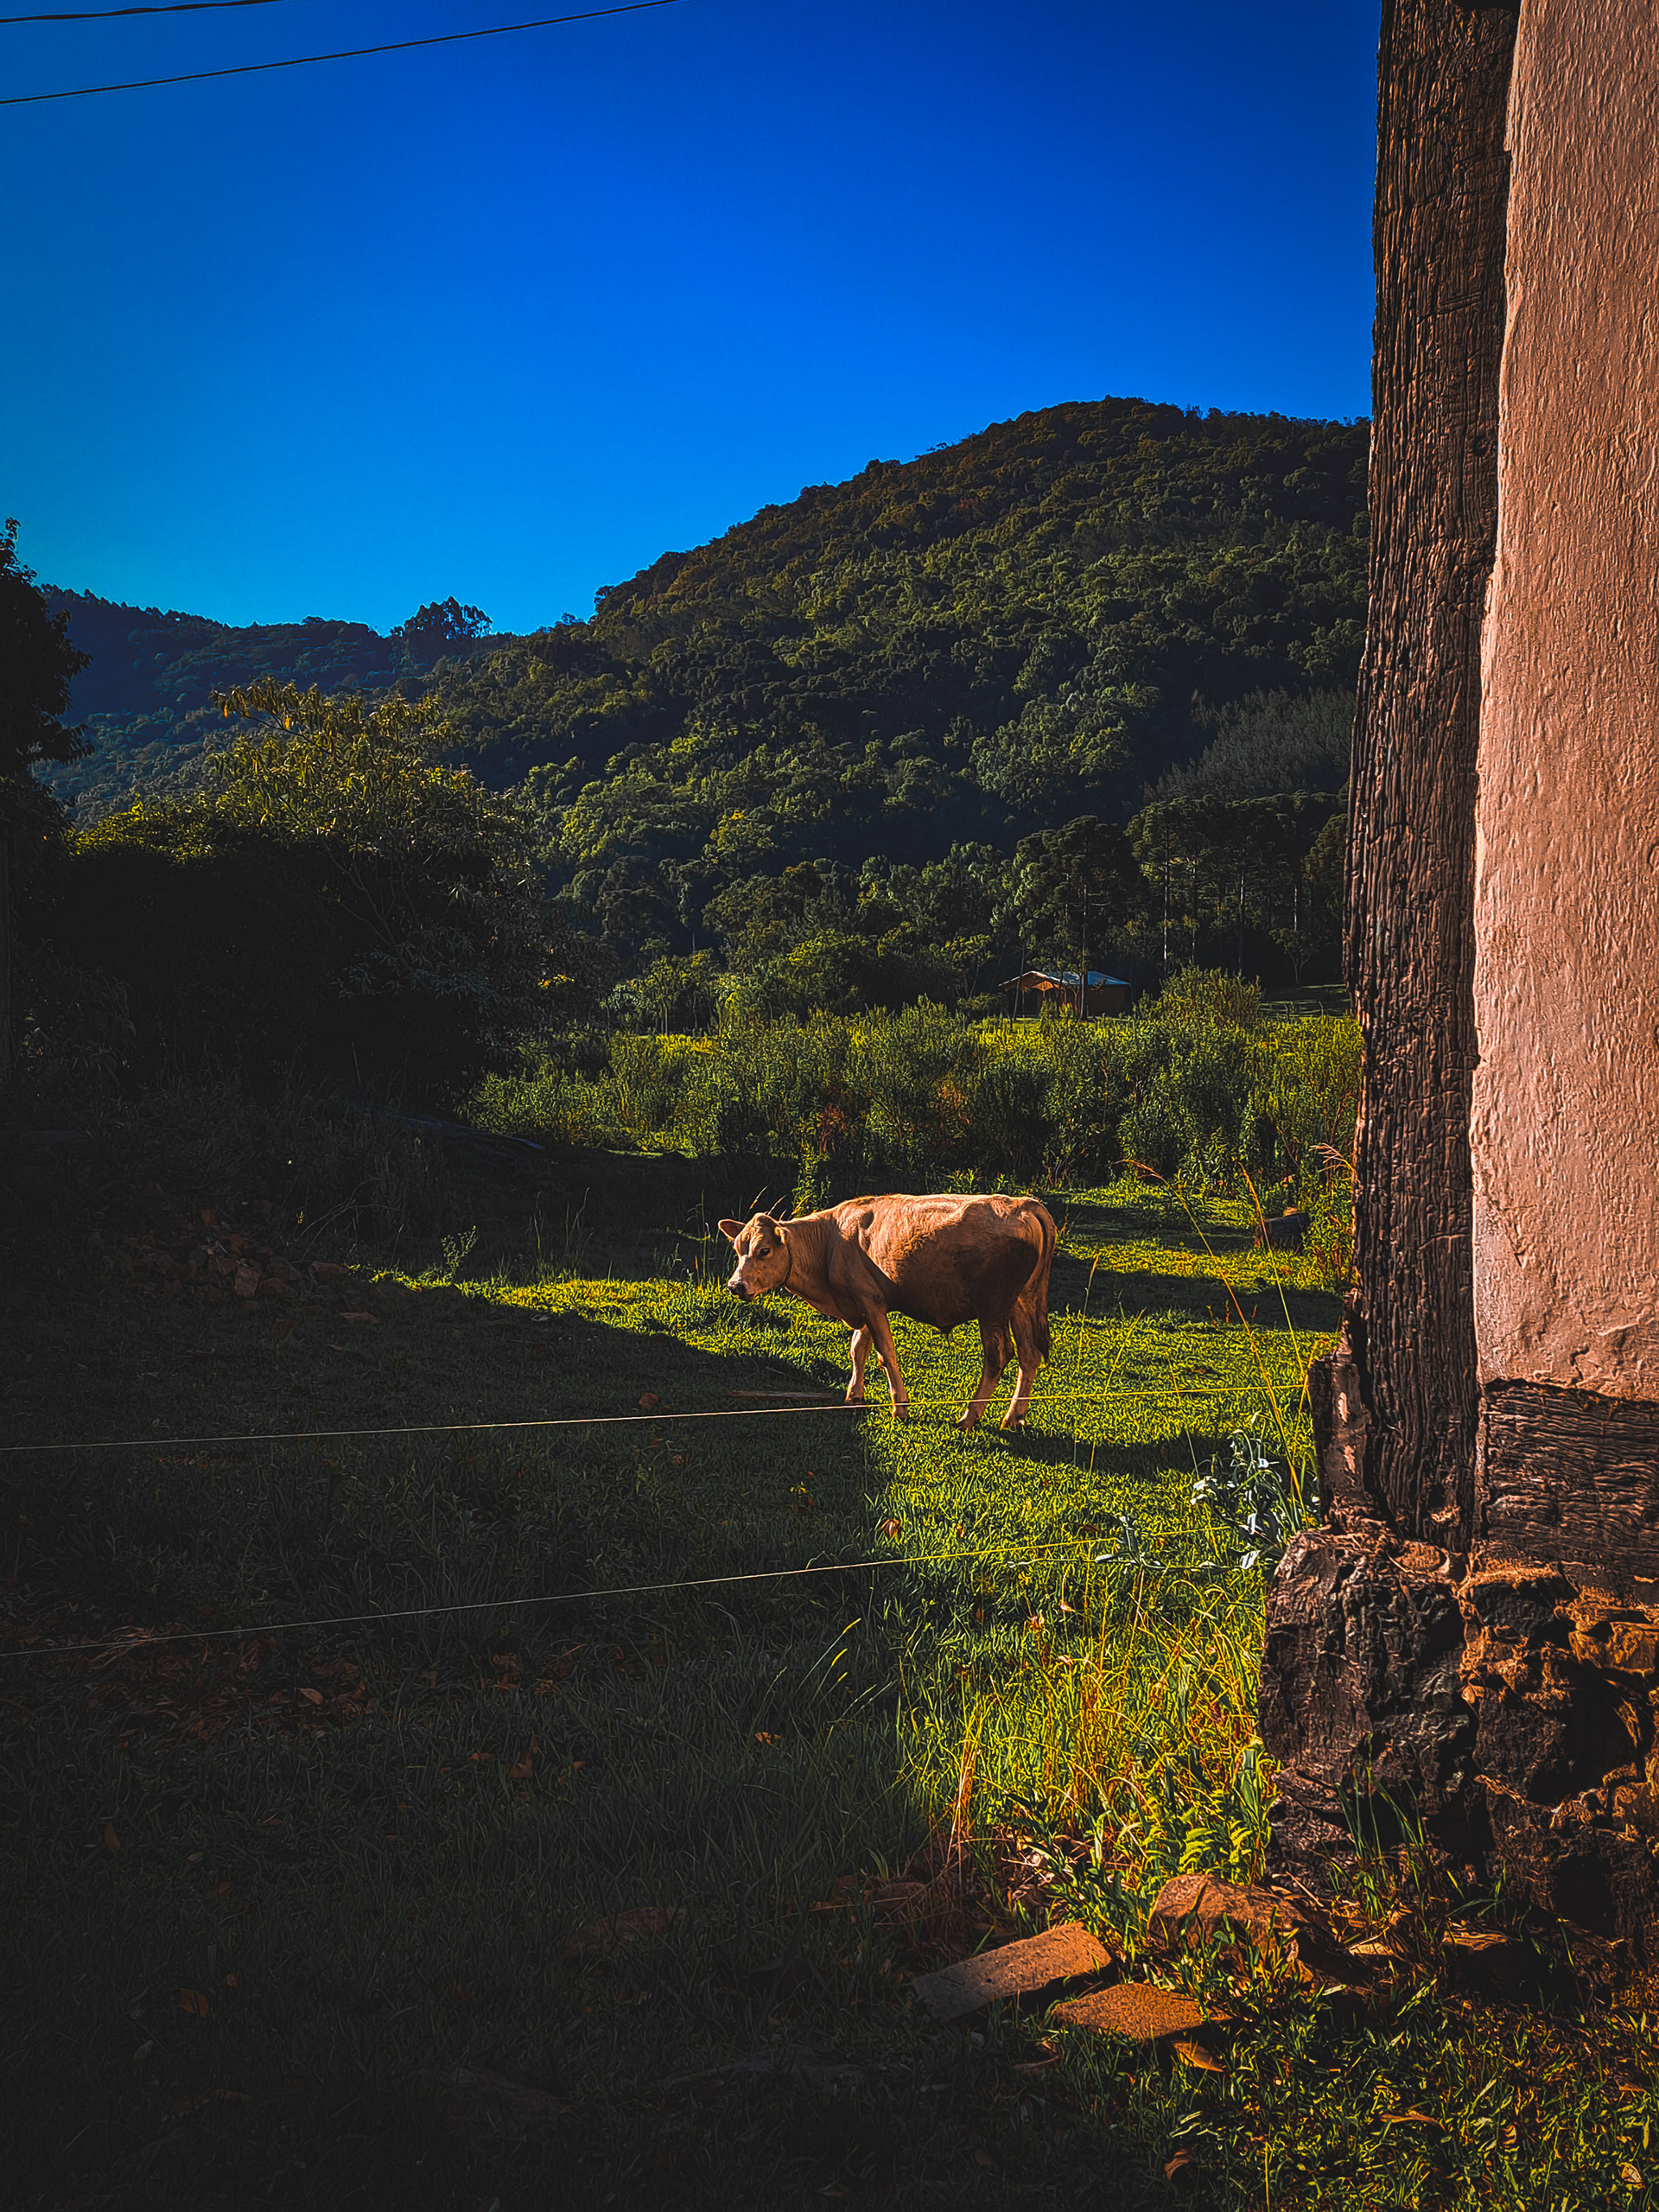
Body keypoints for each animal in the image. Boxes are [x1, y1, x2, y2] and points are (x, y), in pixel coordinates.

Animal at [718, 1192, 1056, 1430]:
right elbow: (858, 1349)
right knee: (1029, 1354)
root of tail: (1024, 1204)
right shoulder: (864, 1302)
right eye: (737, 1249)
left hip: (993, 1307)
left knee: (998, 1356)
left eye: (764, 1250)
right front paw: (854, 1394)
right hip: (1021, 1302)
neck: (829, 1241)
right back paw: (1014, 1416)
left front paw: (900, 1406)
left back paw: (970, 1416)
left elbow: (886, 1353)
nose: (736, 1286)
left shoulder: (869, 1302)